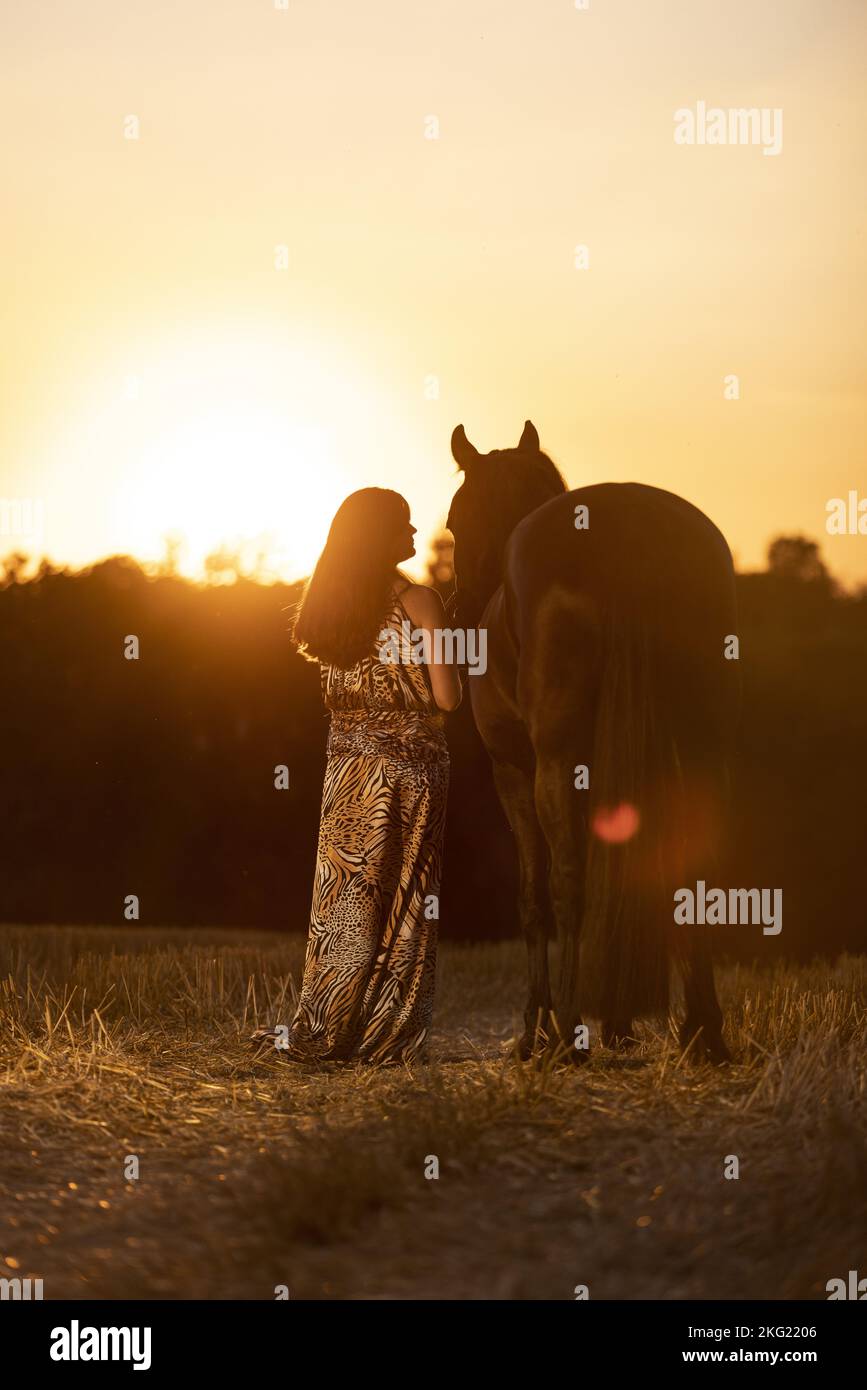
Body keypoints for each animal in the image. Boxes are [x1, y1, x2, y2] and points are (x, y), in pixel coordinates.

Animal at [447, 419, 739, 1061]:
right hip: (698, 747)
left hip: (555, 762)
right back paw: (702, 1030)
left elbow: (533, 894)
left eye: (454, 519)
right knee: (694, 866)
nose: (458, 610)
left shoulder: (513, 770)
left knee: (568, 881)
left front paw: (535, 1027)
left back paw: (568, 1032)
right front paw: (620, 1026)